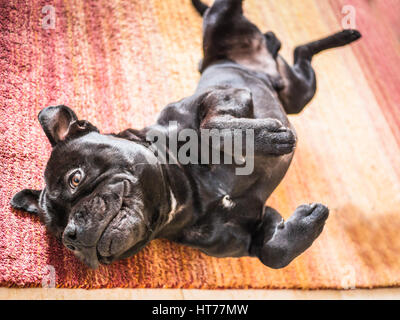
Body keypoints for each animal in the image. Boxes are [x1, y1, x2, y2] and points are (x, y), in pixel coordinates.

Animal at [10, 0, 360, 270]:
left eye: (75, 179)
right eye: (58, 232)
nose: (72, 234)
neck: (180, 193)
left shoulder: (223, 95)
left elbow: (210, 129)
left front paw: (272, 140)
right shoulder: (255, 231)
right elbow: (273, 254)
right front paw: (309, 221)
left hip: (229, 27)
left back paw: (343, 33)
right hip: (298, 92)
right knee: (299, 50)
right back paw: (331, 35)